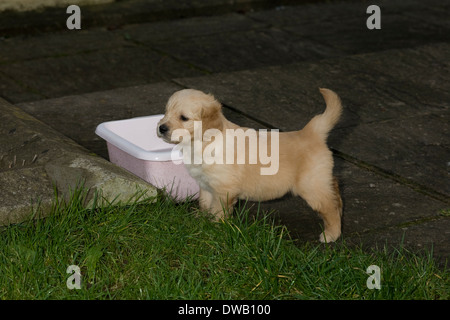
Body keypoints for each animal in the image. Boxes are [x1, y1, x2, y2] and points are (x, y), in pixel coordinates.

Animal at [156, 87, 342, 242]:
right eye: (166, 112)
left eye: (183, 118)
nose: (161, 127)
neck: (202, 142)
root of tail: (311, 132)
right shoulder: (206, 185)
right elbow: (204, 204)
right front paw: (201, 221)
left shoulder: (224, 189)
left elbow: (217, 211)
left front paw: (214, 229)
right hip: (320, 180)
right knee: (335, 189)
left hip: (311, 186)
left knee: (330, 207)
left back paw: (331, 234)